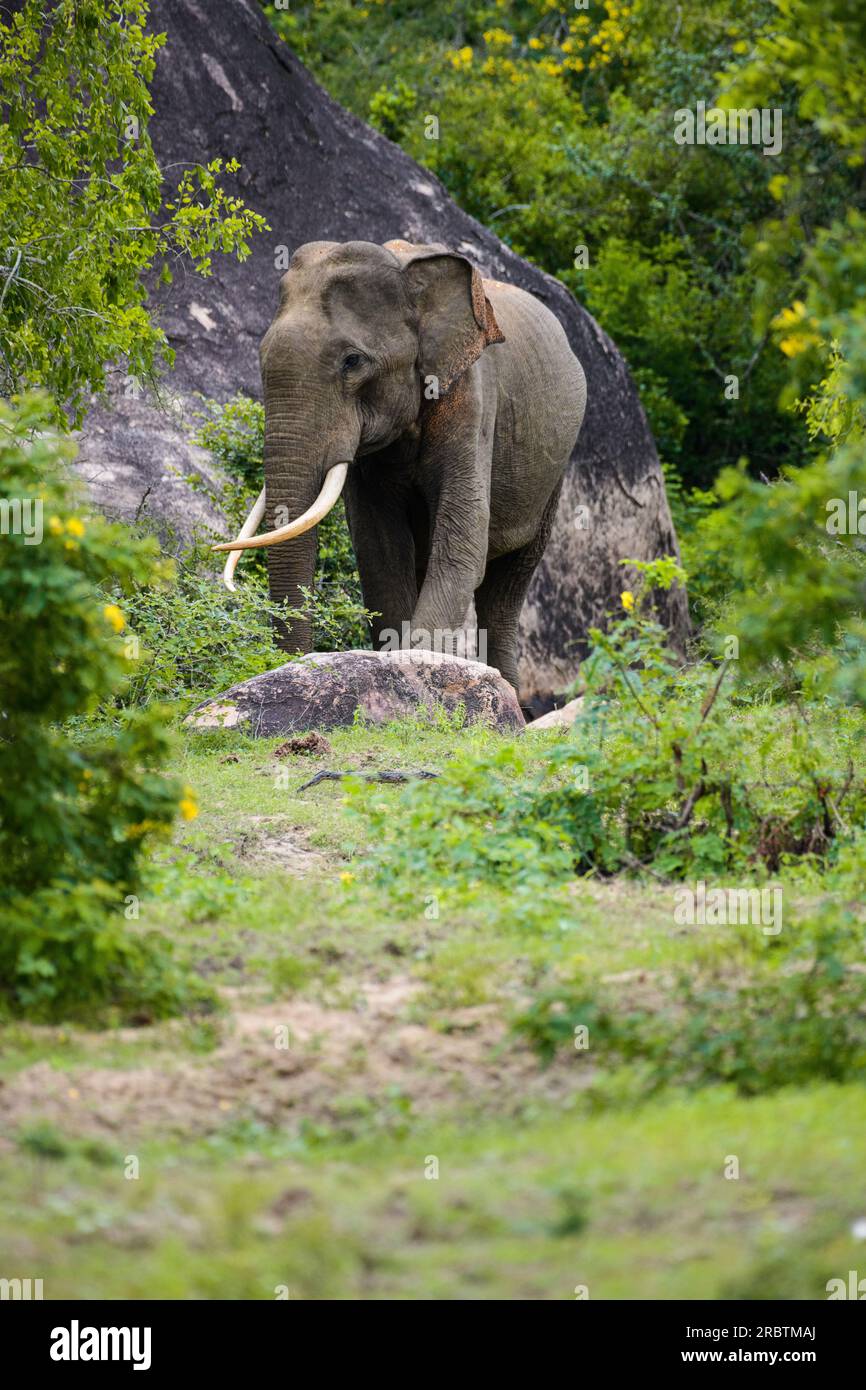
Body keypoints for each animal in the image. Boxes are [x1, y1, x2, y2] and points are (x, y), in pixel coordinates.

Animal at [214, 241, 586, 695]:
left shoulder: (472, 397)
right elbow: (380, 550)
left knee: (507, 587)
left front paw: (416, 668)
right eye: (261, 356)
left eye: (352, 362)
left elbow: (463, 536)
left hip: (555, 470)